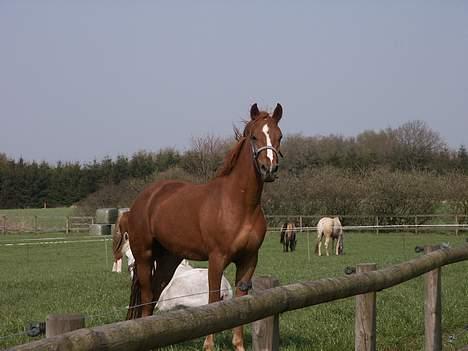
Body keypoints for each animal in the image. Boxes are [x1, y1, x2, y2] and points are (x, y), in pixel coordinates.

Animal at [126, 103, 284, 350]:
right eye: (254, 136)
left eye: (279, 136)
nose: (269, 168)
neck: (239, 205)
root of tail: (146, 196)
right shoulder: (217, 259)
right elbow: (212, 300)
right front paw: (208, 345)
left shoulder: (248, 260)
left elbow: (240, 302)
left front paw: (238, 345)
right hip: (144, 256)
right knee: (146, 296)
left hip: (168, 260)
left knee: (154, 293)